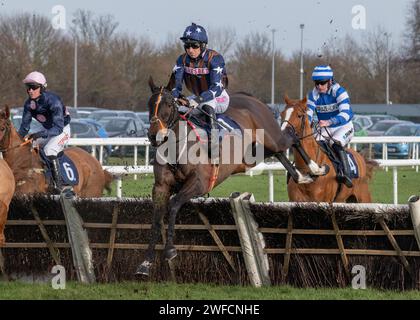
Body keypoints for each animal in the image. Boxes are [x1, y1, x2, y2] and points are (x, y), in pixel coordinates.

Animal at [135, 77, 328, 276]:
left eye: (167, 104)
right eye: (150, 104)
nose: (153, 135)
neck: (177, 147)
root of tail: (252, 99)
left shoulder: (199, 183)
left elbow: (173, 206)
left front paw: (170, 251)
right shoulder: (160, 187)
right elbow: (156, 219)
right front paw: (146, 263)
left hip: (273, 138)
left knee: (293, 139)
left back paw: (316, 169)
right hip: (251, 155)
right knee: (280, 153)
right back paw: (302, 177)